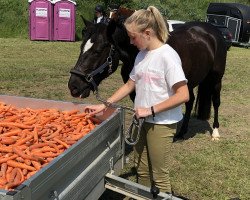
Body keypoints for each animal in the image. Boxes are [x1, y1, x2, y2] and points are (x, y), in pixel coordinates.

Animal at [68, 8, 227, 142]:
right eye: (81, 47)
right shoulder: (134, 90)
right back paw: (181, 133)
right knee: (190, 101)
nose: (73, 86)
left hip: (215, 79)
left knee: (216, 101)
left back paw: (215, 132)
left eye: (98, 51)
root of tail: (213, 31)